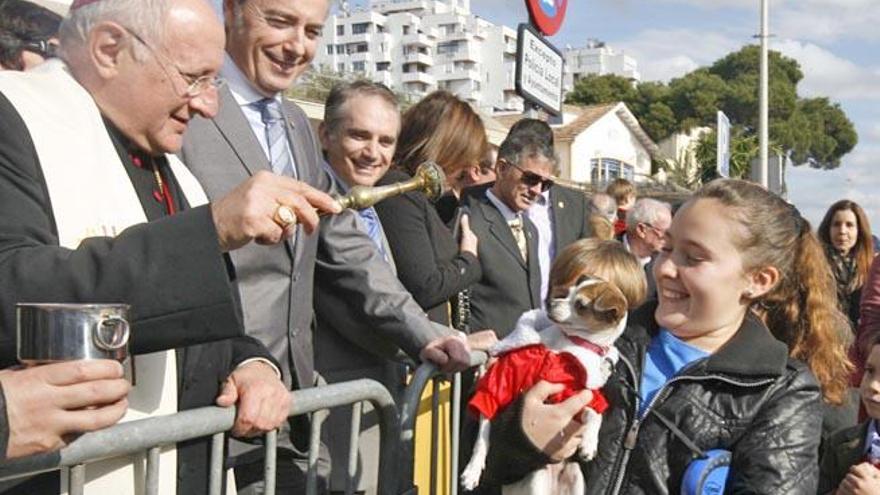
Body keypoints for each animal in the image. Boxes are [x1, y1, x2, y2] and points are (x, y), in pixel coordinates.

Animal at [460, 278, 632, 494]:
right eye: (567, 292)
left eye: (581, 305)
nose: (549, 302)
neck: (567, 348)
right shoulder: (495, 390)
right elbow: (481, 440)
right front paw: (472, 471)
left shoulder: (579, 397)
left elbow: (595, 414)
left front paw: (589, 444)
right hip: (537, 476)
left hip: (575, 475)